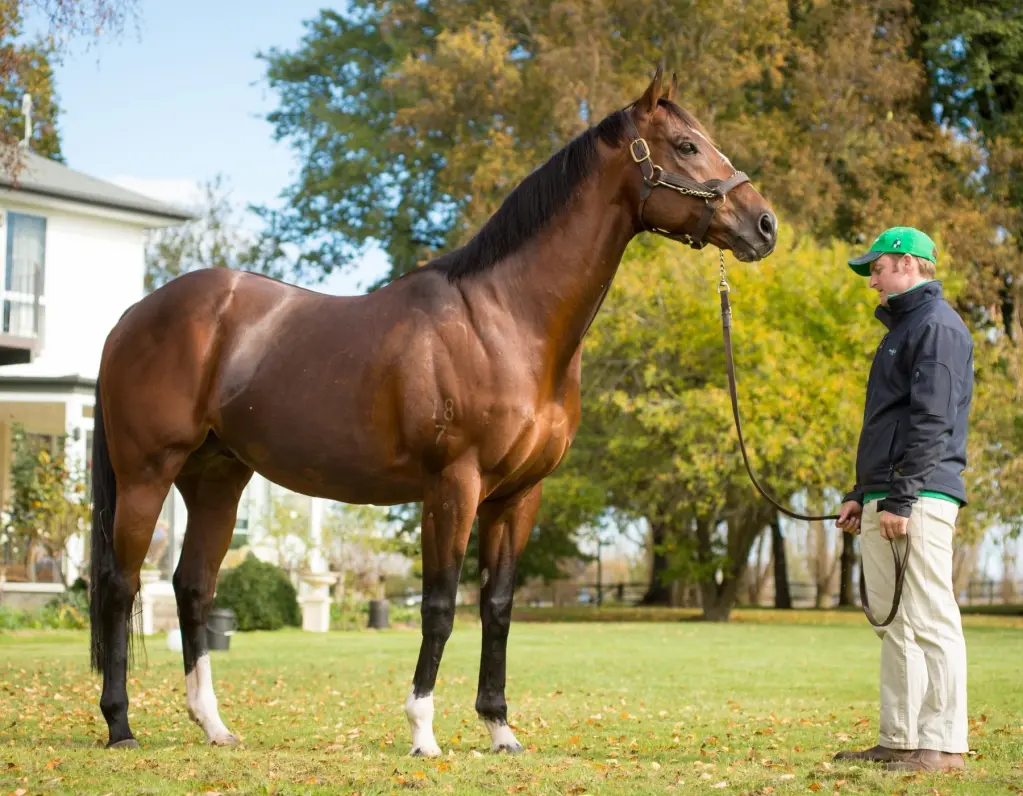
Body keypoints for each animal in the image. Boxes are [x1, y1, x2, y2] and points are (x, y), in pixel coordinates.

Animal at [88, 65, 777, 755]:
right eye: (687, 145)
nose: (764, 224)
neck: (506, 319)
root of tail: (132, 317)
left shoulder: (519, 495)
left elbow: (497, 605)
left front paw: (500, 728)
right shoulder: (453, 484)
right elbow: (440, 605)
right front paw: (423, 729)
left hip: (216, 479)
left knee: (192, 586)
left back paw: (213, 724)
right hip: (148, 474)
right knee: (121, 585)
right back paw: (120, 725)